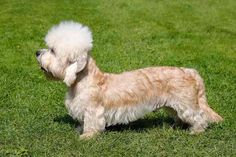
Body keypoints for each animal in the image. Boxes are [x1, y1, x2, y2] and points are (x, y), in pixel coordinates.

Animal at [36, 20, 222, 139]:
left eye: (52, 50)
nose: (37, 52)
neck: (84, 81)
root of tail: (190, 72)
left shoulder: (92, 110)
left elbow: (91, 123)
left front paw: (87, 136)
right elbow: (83, 122)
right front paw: (79, 129)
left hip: (186, 105)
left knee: (200, 117)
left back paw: (196, 131)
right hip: (173, 105)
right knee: (179, 117)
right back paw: (175, 126)